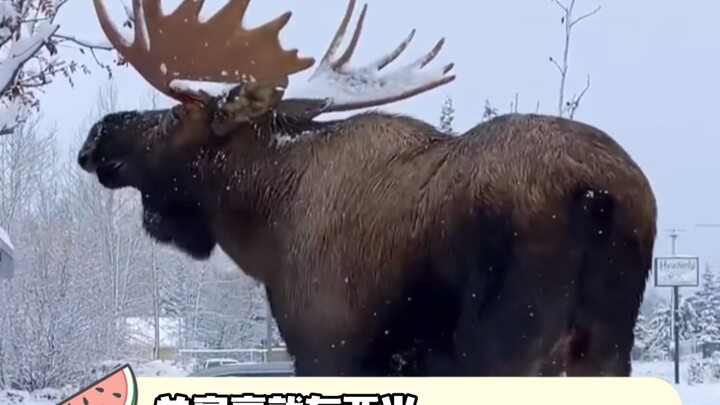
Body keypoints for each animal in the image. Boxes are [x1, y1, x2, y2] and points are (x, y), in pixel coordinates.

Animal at [77, 0, 657, 377]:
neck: (265, 228)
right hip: (605, 349)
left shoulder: (325, 345)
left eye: (178, 114)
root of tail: (596, 197)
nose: (97, 134)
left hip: (508, 343)